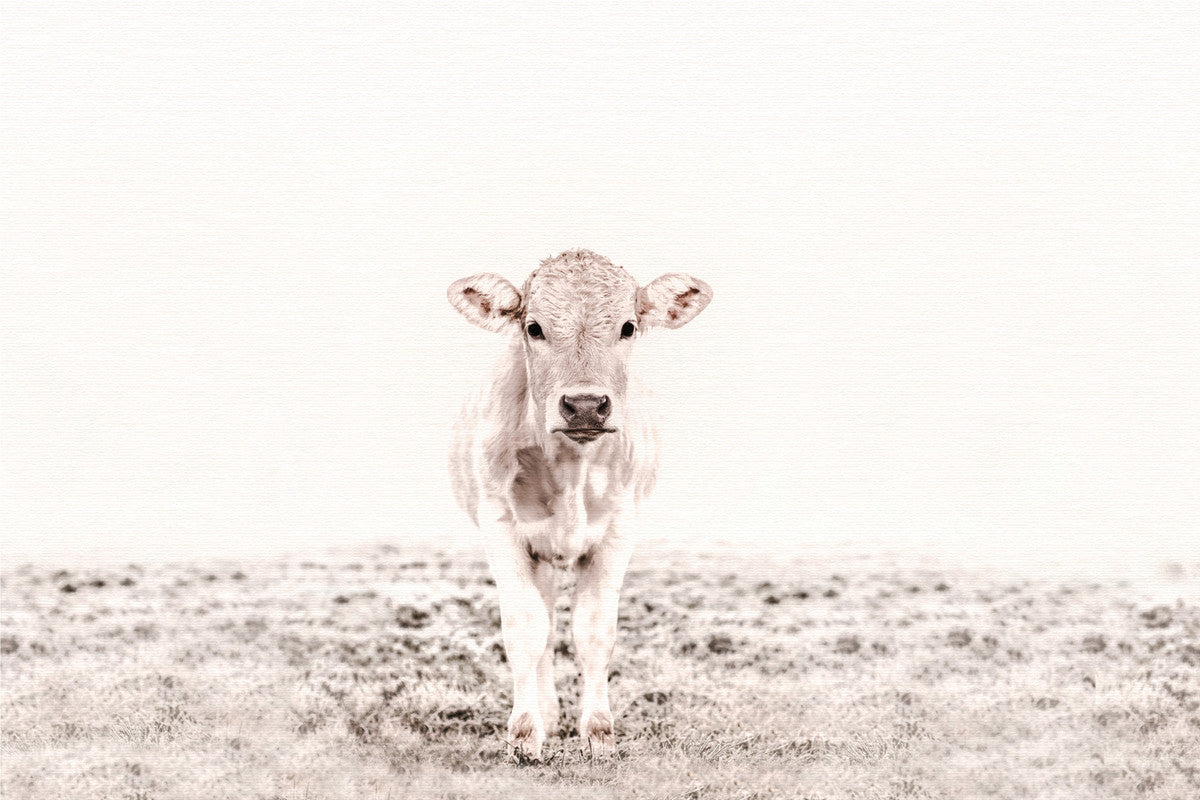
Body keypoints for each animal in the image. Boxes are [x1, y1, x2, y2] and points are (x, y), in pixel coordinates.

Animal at [447, 249, 712, 760]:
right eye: (533, 327)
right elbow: (526, 627)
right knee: (545, 622)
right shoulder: (501, 526)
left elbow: (593, 630)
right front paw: (525, 732)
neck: (570, 469)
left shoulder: (619, 529)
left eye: (628, 327)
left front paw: (598, 732)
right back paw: (547, 713)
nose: (586, 405)